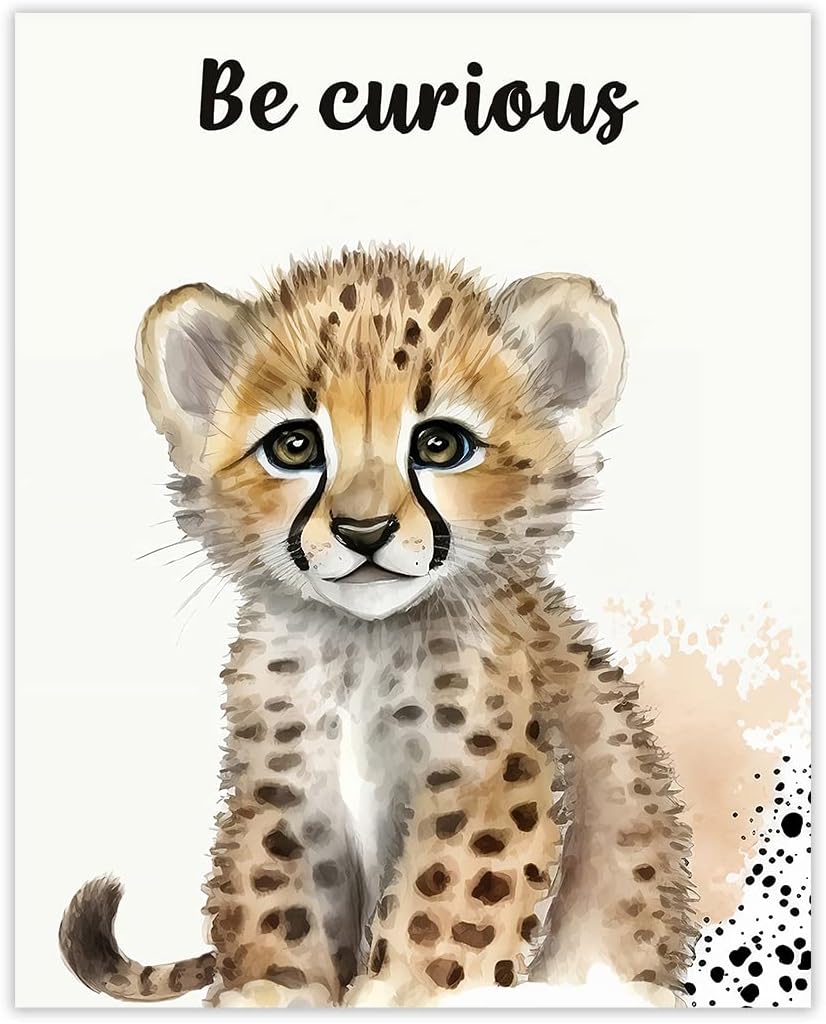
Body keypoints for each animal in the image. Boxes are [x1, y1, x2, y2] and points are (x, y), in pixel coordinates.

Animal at [59, 245, 697, 1008]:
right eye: (295, 446)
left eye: (441, 444)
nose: (364, 531)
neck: (363, 646)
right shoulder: (285, 781)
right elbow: (275, 884)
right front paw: (274, 990)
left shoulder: (487, 777)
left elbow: (450, 898)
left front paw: (404, 992)